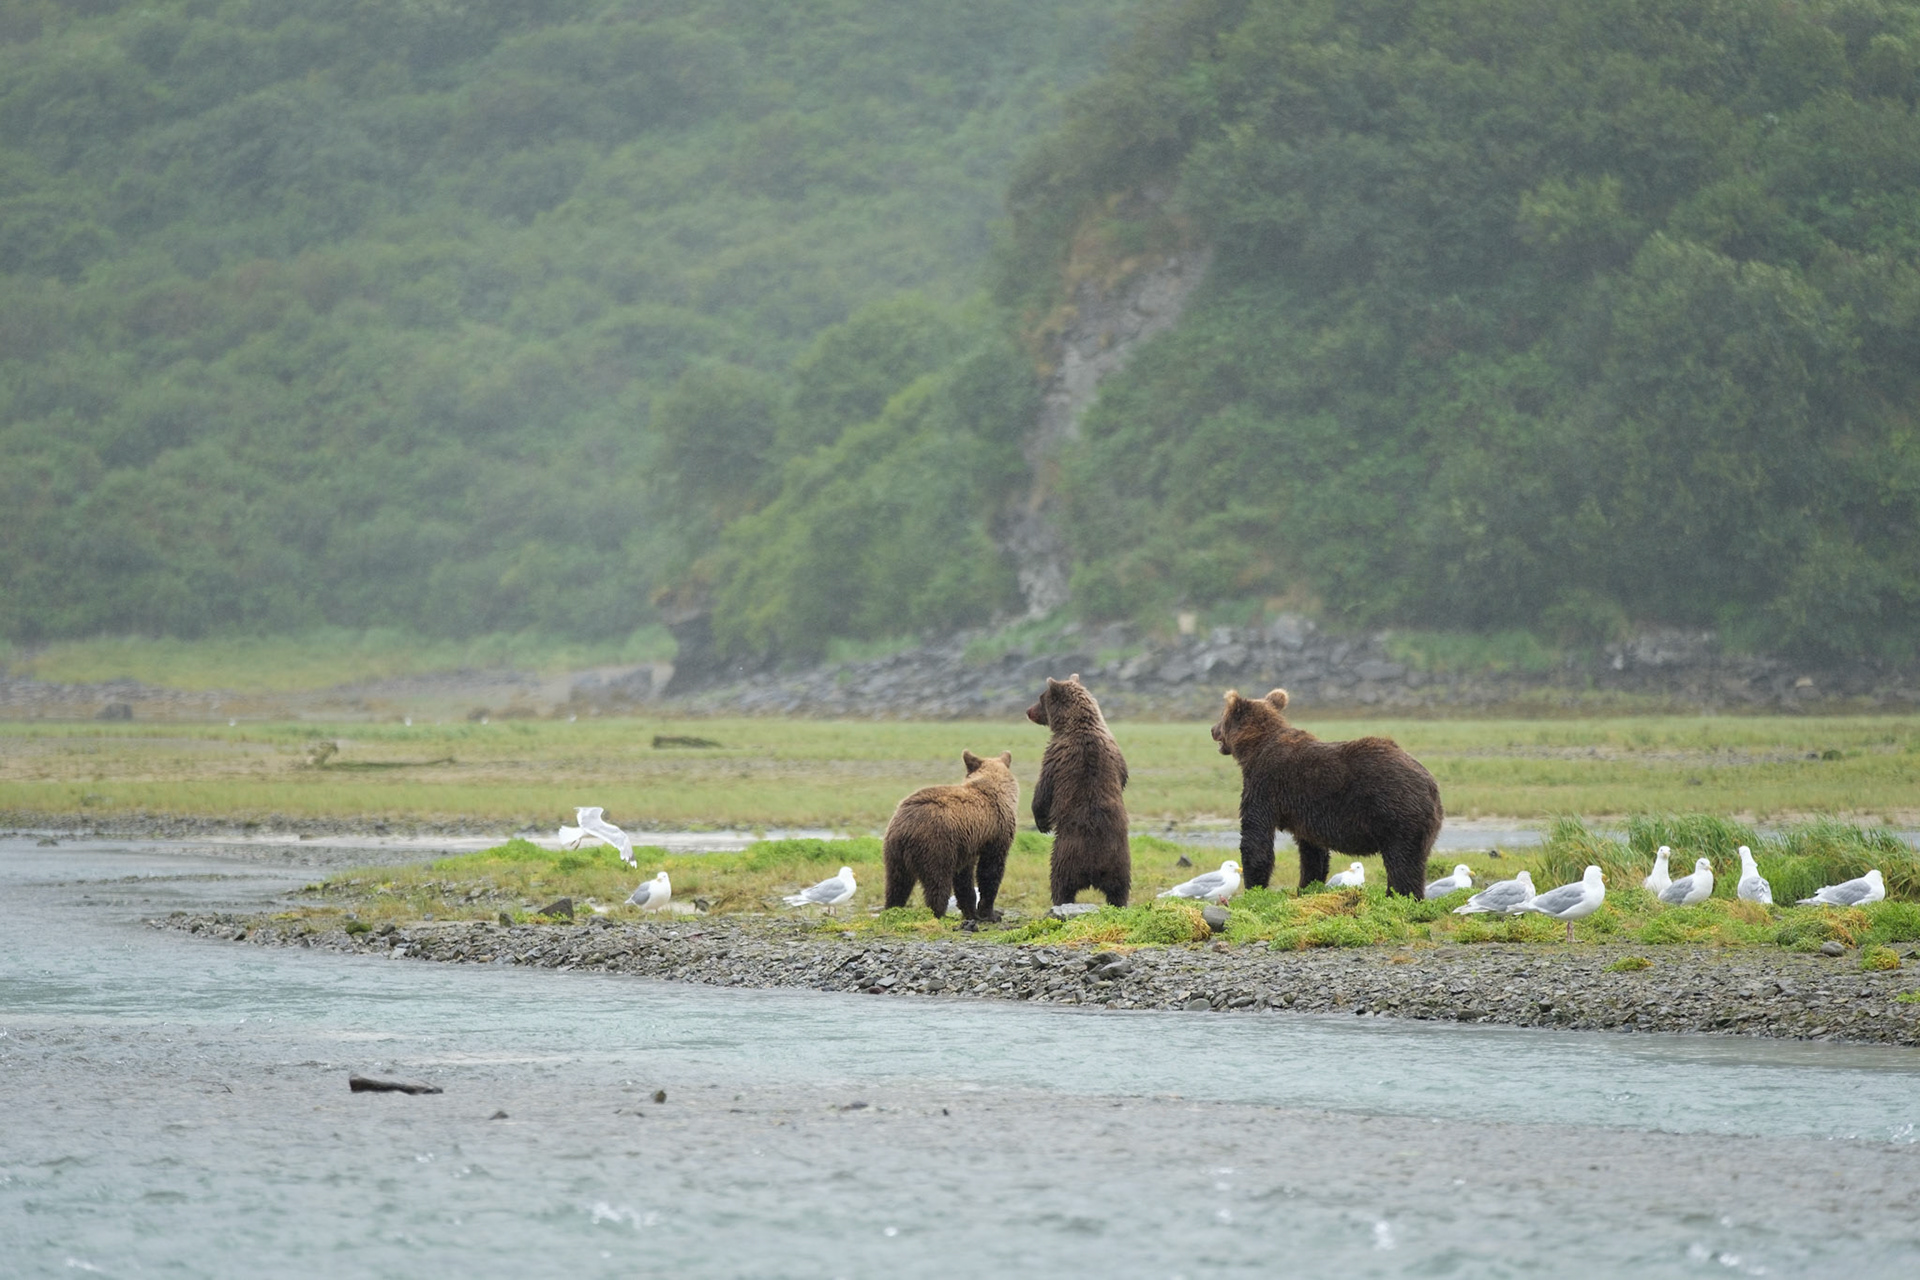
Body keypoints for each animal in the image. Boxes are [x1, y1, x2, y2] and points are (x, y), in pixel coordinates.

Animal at [882, 750, 1018, 926]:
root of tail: (906, 827)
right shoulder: (996, 834)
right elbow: (990, 870)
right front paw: (991, 914)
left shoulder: (967, 844)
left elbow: (964, 878)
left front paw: (971, 912)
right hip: (935, 845)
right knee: (938, 883)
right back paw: (938, 914)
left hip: (893, 852)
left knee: (897, 884)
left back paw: (892, 909)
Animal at [1026, 674, 1131, 907]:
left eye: (1041, 698)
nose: (1028, 711)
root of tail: (1094, 869)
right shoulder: (1115, 752)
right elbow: (1123, 777)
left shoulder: (1056, 756)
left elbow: (1043, 789)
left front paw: (1042, 823)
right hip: (1120, 862)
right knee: (1119, 889)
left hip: (1065, 854)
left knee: (1060, 883)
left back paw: (1060, 901)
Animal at [1210, 688, 1442, 897]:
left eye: (1222, 716)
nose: (1212, 729)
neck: (1254, 747)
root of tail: (1430, 784)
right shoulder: (1306, 812)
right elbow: (1312, 852)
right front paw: (1306, 887)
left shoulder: (1265, 785)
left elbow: (1255, 837)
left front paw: (1254, 888)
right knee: (1415, 862)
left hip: (1396, 813)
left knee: (1401, 862)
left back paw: (1399, 896)